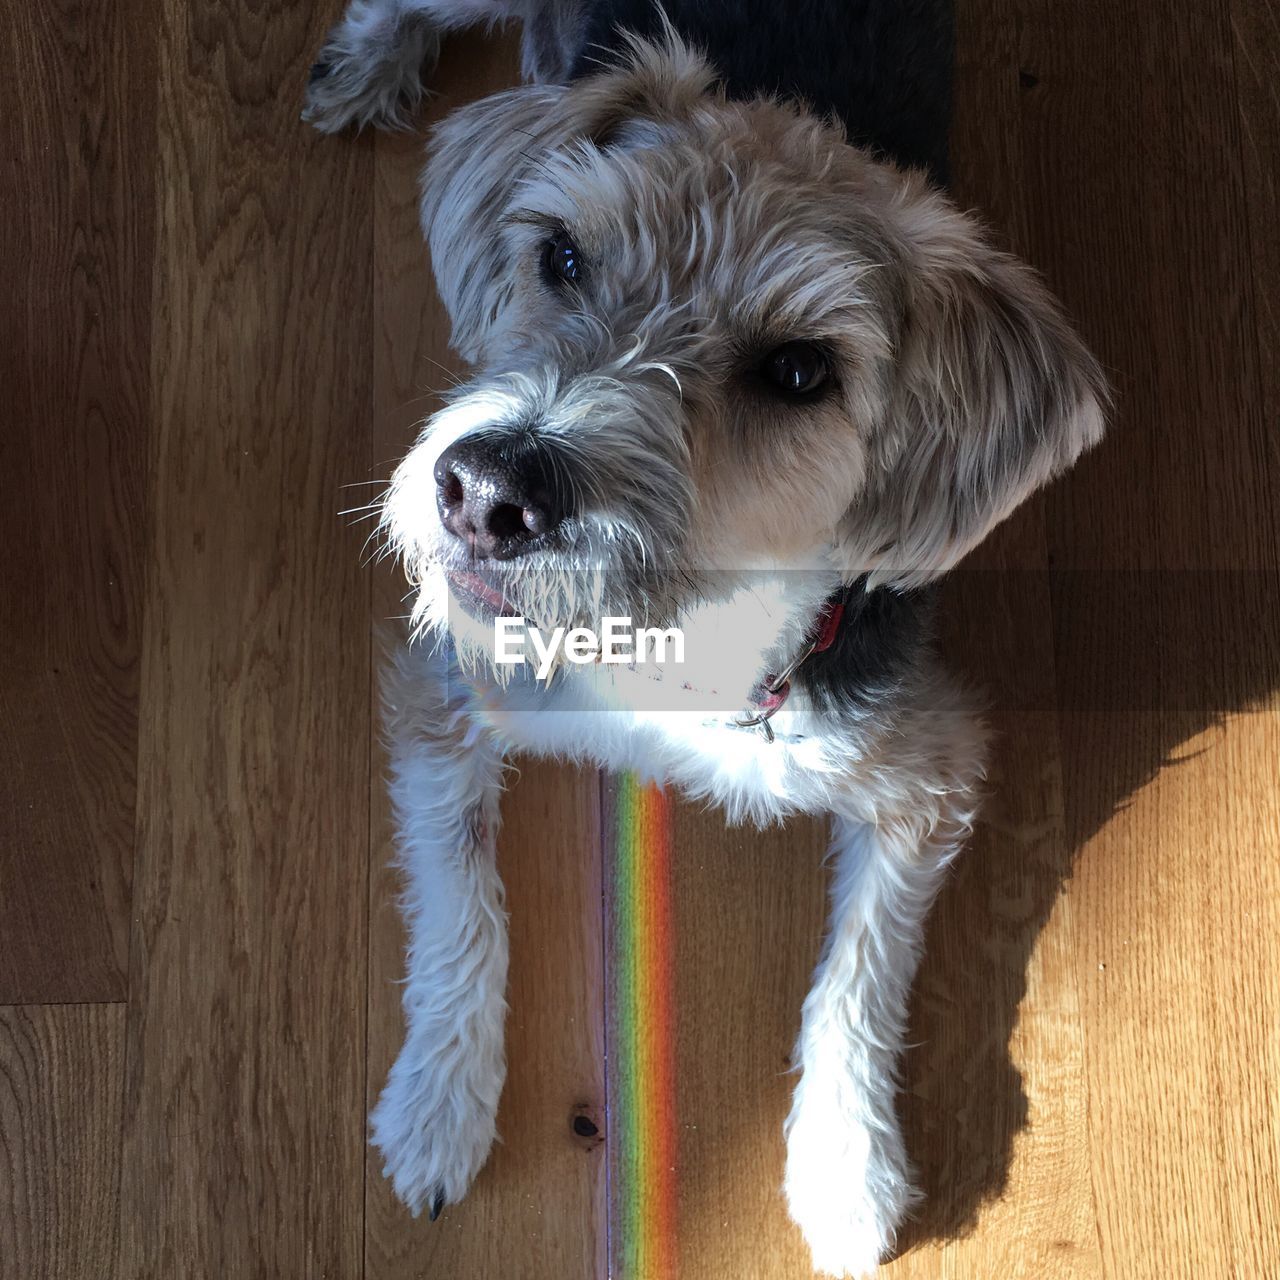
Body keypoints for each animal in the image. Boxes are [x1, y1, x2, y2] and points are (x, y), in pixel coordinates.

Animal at [304, 5, 1105, 1274]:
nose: (487, 491)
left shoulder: (930, 772)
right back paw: (362, 65)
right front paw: (438, 1101)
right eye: (561, 256)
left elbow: (860, 972)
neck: (676, 636)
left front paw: (844, 1167)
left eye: (798, 370)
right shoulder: (447, 693)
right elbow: (461, 904)